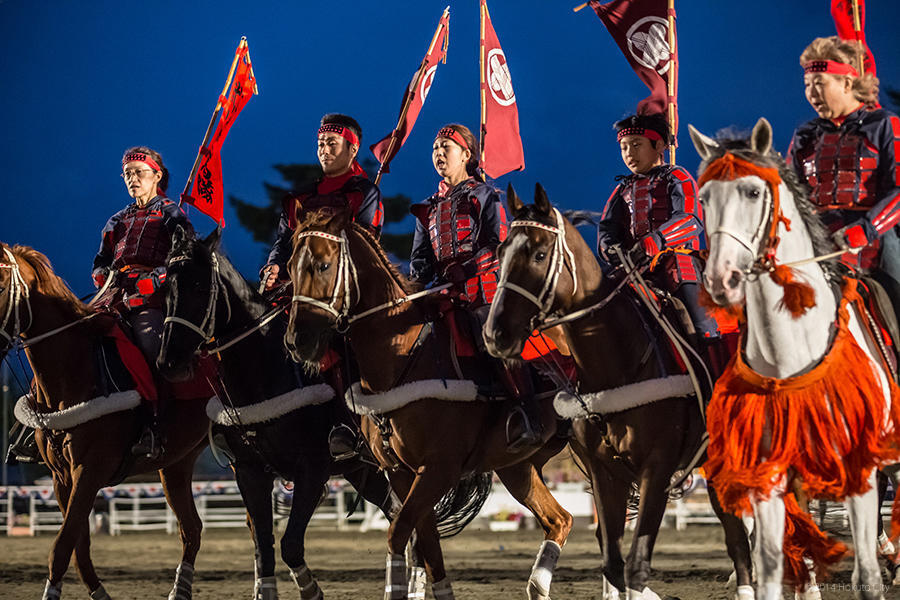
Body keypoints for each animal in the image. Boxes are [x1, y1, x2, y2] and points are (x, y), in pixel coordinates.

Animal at [0, 244, 207, 600]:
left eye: (0, 285)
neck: (76, 368)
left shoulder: (90, 470)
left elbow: (62, 545)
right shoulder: (62, 477)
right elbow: (77, 544)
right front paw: (99, 592)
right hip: (177, 464)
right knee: (191, 528)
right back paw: (180, 590)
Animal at [156, 229, 396, 600]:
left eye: (198, 285)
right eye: (167, 287)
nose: (169, 362)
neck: (266, 368)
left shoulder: (312, 471)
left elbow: (290, 545)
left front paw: (312, 590)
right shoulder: (250, 472)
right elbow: (264, 546)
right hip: (362, 471)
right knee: (396, 512)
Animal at [284, 209, 572, 600]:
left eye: (323, 264)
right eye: (290, 267)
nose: (297, 339)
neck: (404, 352)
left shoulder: (438, 469)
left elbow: (400, 533)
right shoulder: (401, 472)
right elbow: (427, 543)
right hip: (518, 467)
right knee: (559, 520)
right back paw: (538, 585)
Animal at [482, 185, 756, 596]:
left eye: (540, 253)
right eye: (500, 253)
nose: (495, 334)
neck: (619, 360)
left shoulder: (657, 470)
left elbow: (636, 564)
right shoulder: (605, 473)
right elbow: (613, 560)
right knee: (736, 532)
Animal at [688, 118, 900, 600]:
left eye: (752, 191)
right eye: (704, 197)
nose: (721, 279)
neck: (790, 352)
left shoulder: (859, 472)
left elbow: (866, 578)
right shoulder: (770, 477)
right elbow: (770, 568)